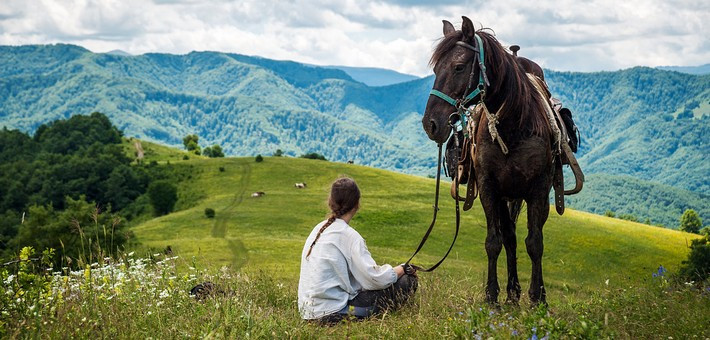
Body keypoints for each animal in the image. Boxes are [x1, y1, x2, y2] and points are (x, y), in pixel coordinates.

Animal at [422, 16, 556, 306]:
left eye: (459, 67)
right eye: (436, 68)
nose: (431, 124)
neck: (513, 124)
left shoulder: (538, 189)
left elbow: (535, 243)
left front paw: (538, 298)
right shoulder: (489, 188)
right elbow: (494, 241)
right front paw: (492, 296)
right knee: (510, 238)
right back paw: (512, 293)